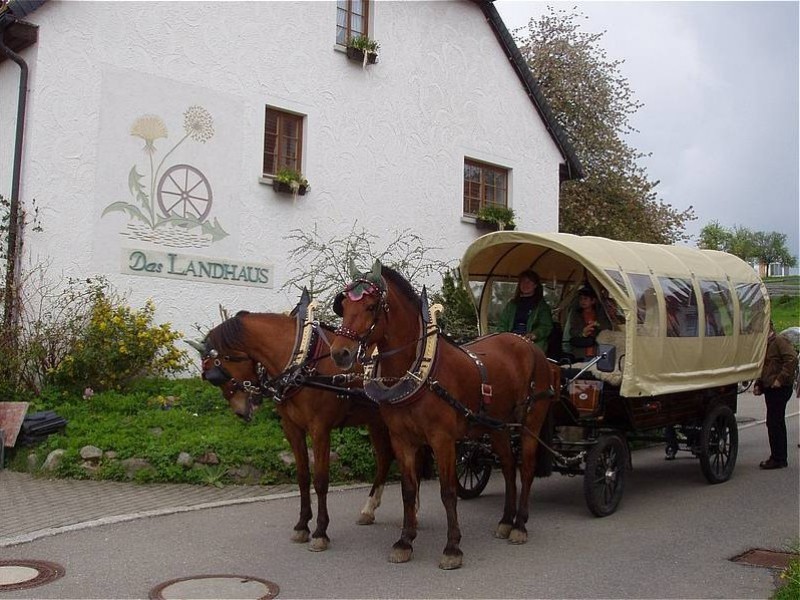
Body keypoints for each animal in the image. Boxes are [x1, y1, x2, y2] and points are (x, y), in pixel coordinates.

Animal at [198, 292, 396, 552]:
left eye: (216, 374)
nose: (241, 412)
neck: (303, 360)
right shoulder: (292, 428)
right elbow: (302, 477)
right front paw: (302, 525)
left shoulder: (320, 429)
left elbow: (321, 480)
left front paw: (320, 532)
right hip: (376, 421)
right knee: (384, 459)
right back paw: (369, 509)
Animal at [328, 260, 560, 568]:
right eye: (343, 305)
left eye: (371, 306)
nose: (340, 353)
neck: (419, 371)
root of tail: (529, 345)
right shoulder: (402, 439)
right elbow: (408, 490)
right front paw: (405, 541)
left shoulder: (443, 441)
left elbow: (448, 492)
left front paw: (452, 547)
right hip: (497, 426)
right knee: (510, 467)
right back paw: (505, 521)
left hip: (530, 422)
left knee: (527, 468)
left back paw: (520, 524)